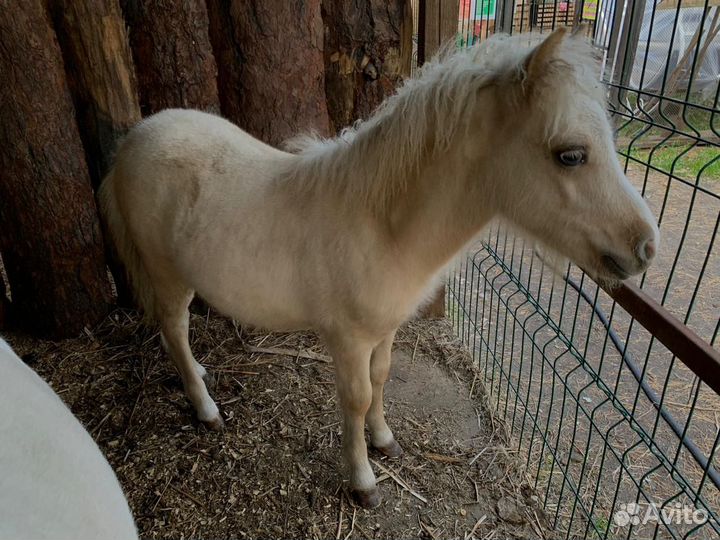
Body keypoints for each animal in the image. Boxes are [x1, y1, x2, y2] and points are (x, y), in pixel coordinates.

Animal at [99, 28, 659, 508]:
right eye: (571, 155)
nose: (646, 248)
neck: (380, 224)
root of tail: (131, 142)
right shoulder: (346, 340)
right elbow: (356, 399)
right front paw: (363, 481)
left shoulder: (385, 330)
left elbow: (383, 379)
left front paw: (385, 440)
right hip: (169, 277)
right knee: (175, 328)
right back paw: (206, 408)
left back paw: (199, 374)